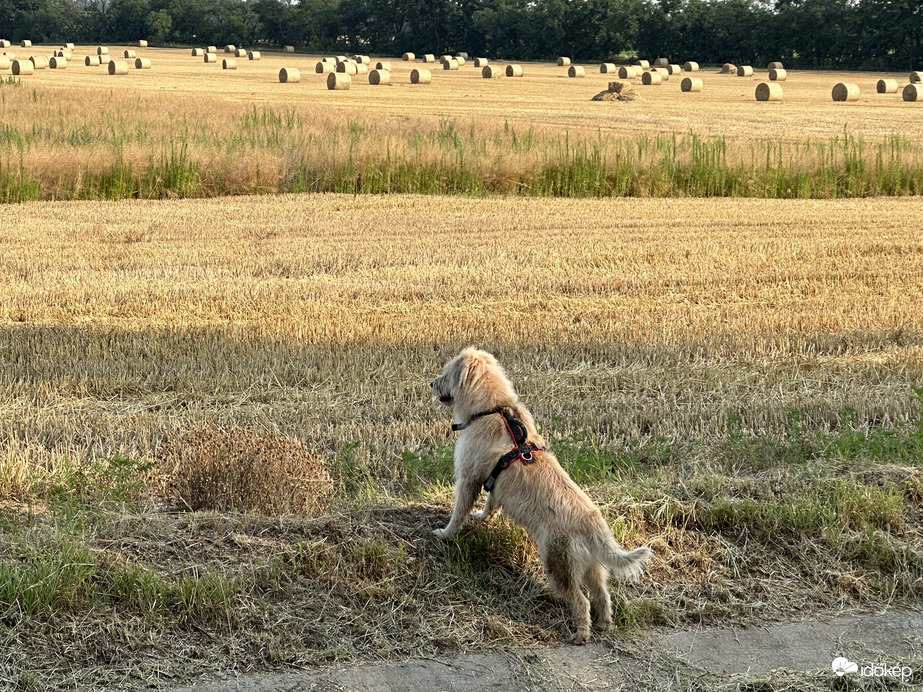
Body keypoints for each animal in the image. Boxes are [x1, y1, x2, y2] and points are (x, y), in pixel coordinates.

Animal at [430, 347, 652, 644]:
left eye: (446, 372)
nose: (431, 383)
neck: (492, 409)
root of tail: (593, 525)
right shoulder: (493, 483)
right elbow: (490, 504)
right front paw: (481, 516)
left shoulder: (468, 479)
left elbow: (458, 512)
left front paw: (445, 533)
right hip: (592, 567)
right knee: (602, 595)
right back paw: (605, 625)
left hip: (558, 564)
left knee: (581, 601)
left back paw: (581, 635)